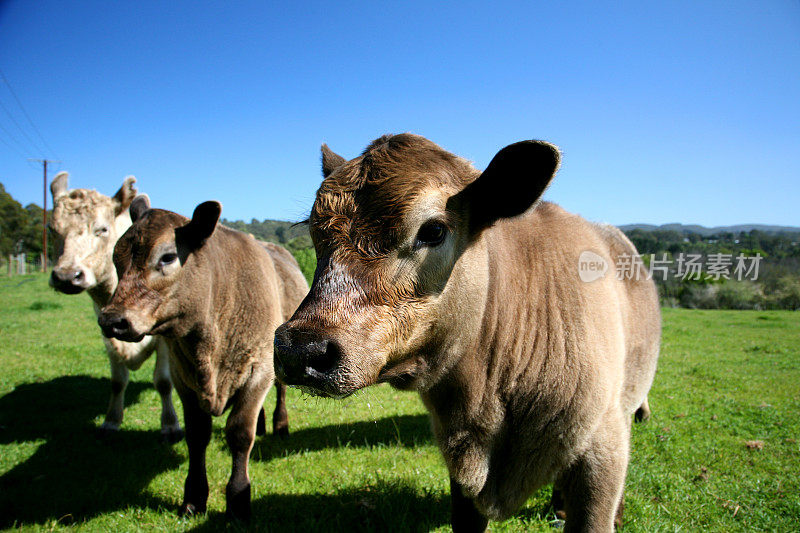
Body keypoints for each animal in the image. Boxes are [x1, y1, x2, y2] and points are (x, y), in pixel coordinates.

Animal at [97, 195, 310, 520]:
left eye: (167, 257)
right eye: (116, 257)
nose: (111, 320)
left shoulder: (258, 370)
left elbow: (240, 432)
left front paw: (238, 499)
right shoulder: (182, 377)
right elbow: (197, 434)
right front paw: (195, 497)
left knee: (282, 392)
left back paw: (279, 425)